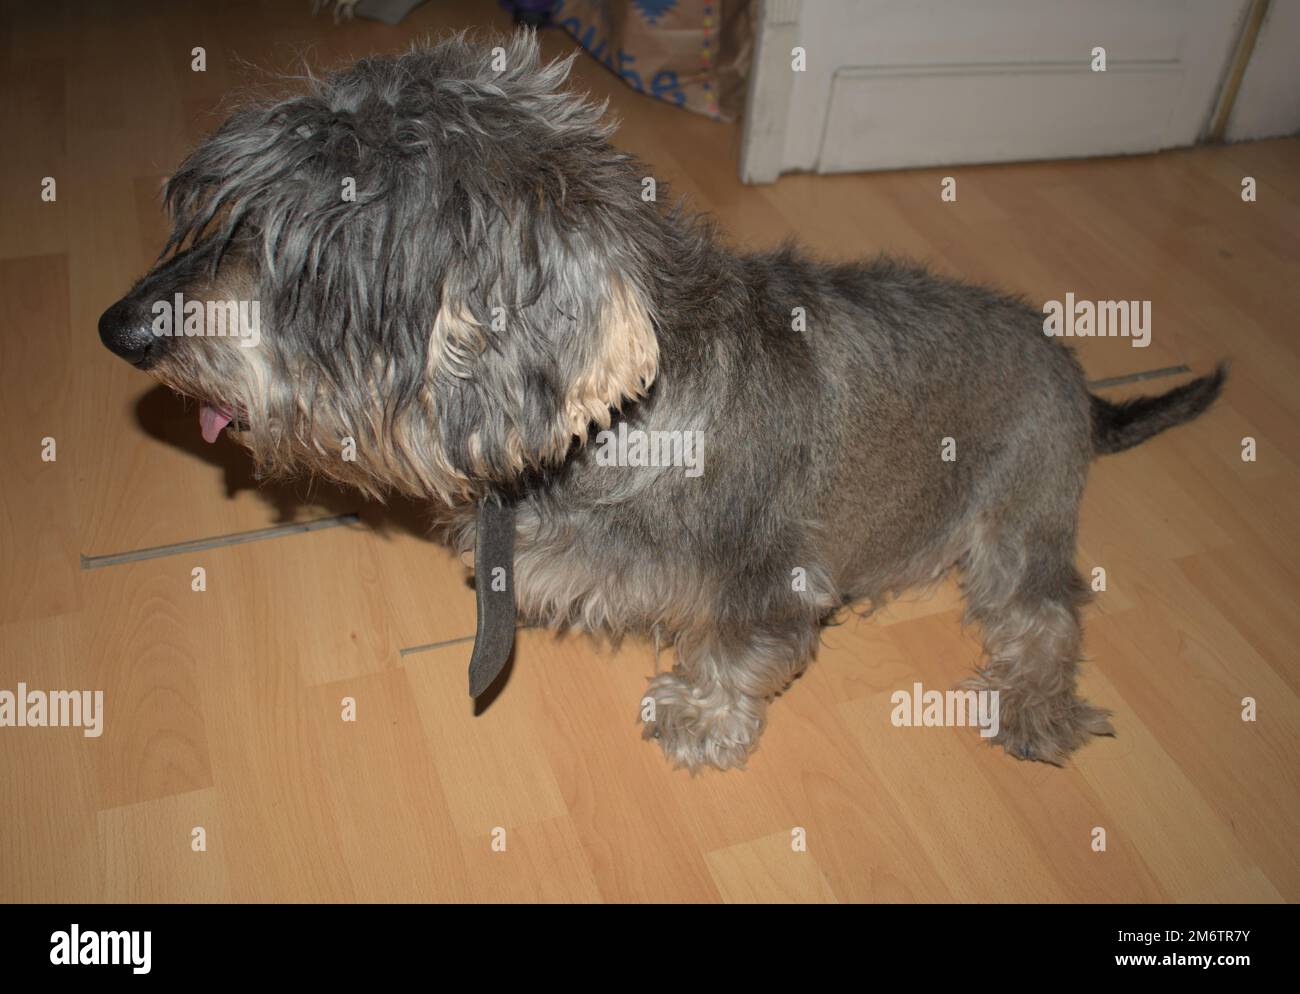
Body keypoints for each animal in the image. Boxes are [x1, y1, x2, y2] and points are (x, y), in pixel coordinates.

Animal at [96, 32, 1222, 769]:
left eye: (318, 264)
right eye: (237, 214)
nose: (124, 328)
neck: (616, 431)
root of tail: (1078, 381)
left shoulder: (772, 588)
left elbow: (733, 654)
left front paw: (698, 717)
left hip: (1016, 525)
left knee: (1047, 615)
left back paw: (1033, 708)